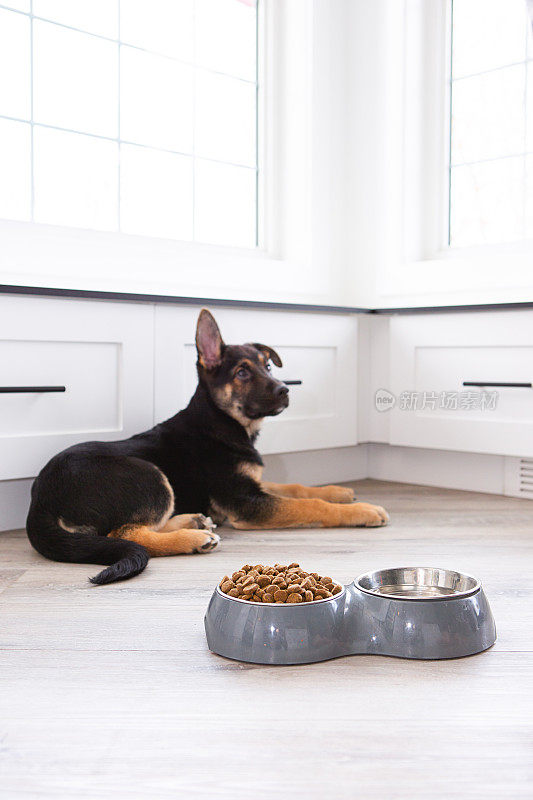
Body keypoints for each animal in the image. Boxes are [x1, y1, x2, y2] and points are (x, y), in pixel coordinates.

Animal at [25, 310, 388, 584]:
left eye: (268, 365)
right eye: (242, 372)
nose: (286, 390)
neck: (222, 422)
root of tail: (40, 498)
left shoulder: (250, 484)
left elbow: (297, 487)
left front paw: (339, 491)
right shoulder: (244, 501)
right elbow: (310, 505)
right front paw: (362, 510)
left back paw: (194, 521)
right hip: (149, 475)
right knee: (126, 533)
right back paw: (194, 538)